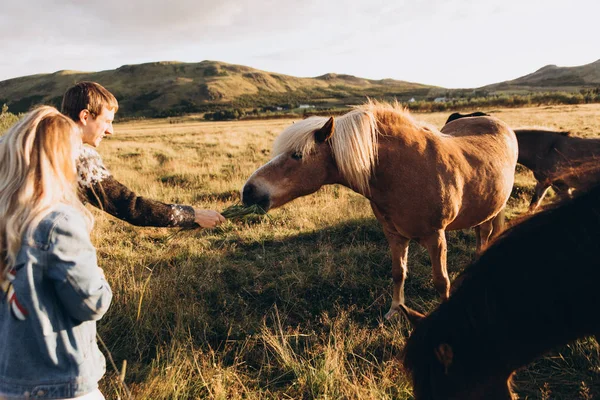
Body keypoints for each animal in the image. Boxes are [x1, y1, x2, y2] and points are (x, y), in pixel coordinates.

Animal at [241, 101, 516, 318]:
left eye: (297, 155)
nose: (249, 191)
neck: (404, 171)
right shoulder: (394, 234)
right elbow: (398, 273)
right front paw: (394, 310)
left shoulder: (435, 237)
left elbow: (441, 282)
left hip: (495, 208)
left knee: (485, 234)